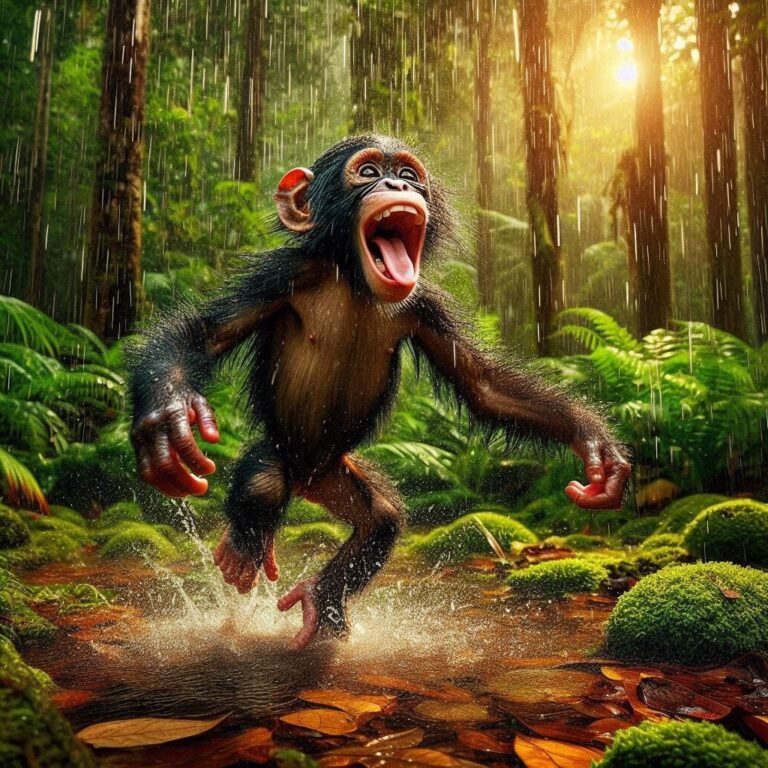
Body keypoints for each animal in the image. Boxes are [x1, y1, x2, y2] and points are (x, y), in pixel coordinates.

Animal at [128, 135, 630, 651]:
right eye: (368, 172)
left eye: (409, 175)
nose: (397, 185)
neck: (355, 282)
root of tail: (307, 477)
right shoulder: (283, 273)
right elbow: (203, 335)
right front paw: (168, 420)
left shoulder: (428, 307)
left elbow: (485, 386)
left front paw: (595, 445)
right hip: (282, 454)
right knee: (264, 484)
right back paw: (243, 553)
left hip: (337, 474)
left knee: (381, 519)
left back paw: (323, 601)